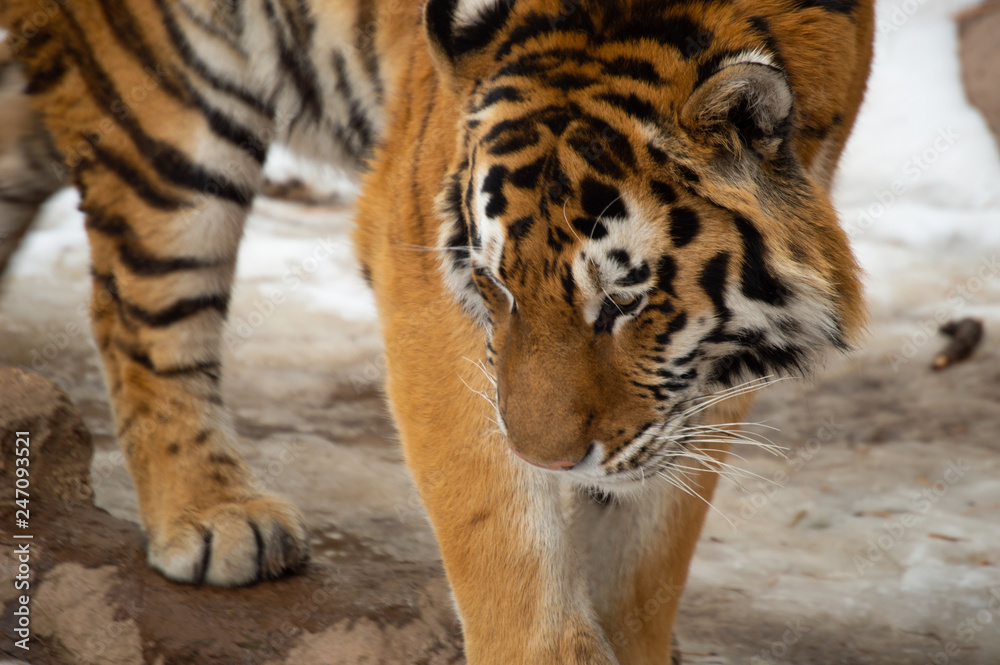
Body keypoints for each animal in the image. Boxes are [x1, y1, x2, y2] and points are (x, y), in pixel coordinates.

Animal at [0, 0, 873, 662]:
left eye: (625, 300)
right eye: (496, 285)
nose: (549, 459)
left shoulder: (696, 383)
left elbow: (646, 554)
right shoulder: (417, 253)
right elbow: (500, 528)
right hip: (168, 114)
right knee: (141, 313)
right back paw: (215, 513)